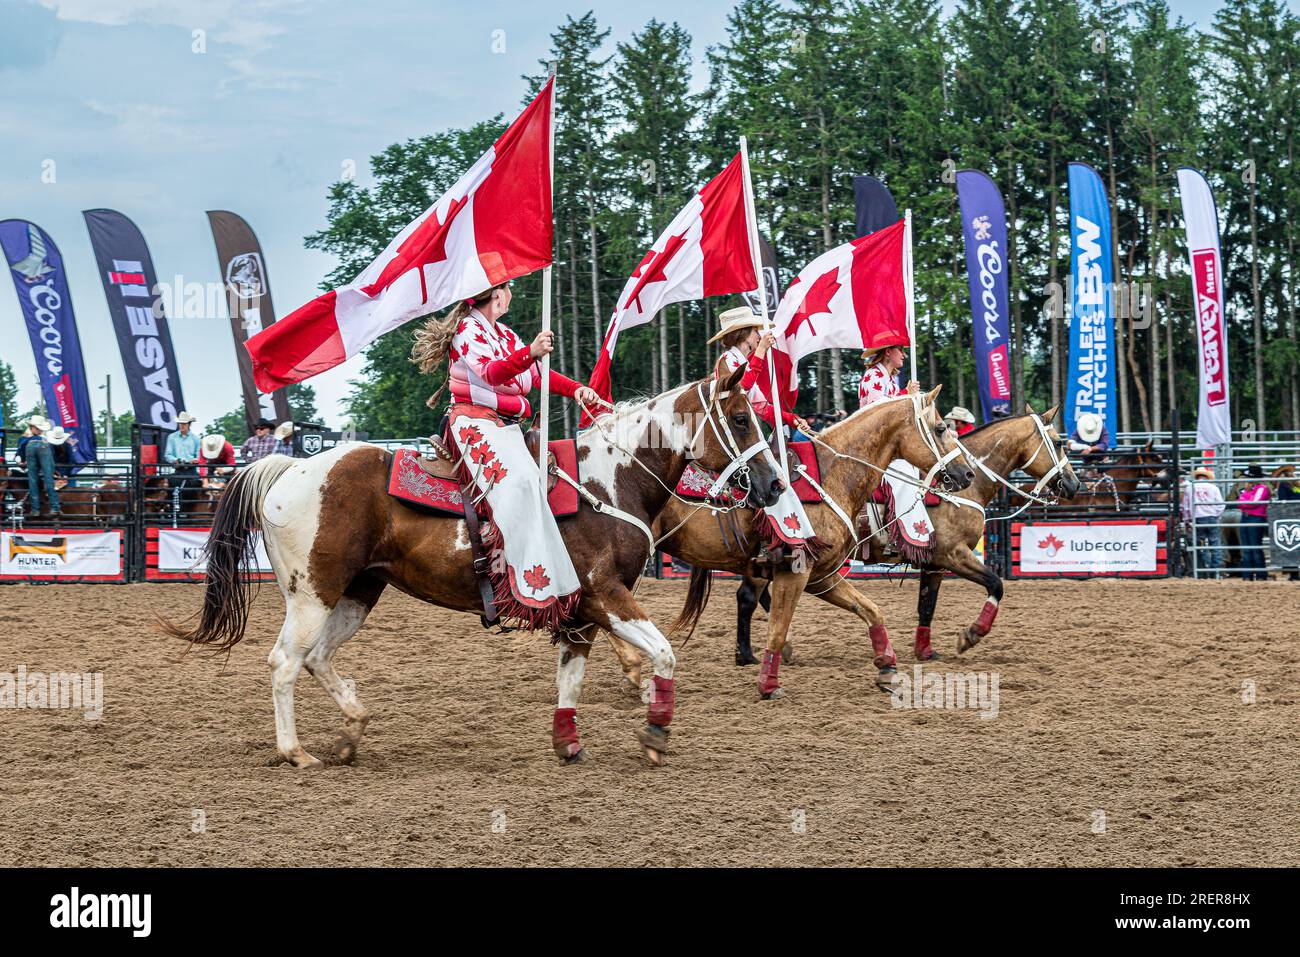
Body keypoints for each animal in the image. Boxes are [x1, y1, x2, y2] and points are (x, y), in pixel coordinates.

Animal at [167, 369, 785, 769]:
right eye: (739, 418)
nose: (776, 485)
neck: (608, 481)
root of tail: (287, 469)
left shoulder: (581, 612)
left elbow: (571, 676)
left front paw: (567, 744)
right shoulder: (605, 594)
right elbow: (663, 653)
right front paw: (656, 734)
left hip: (359, 591)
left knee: (317, 658)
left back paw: (352, 730)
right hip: (312, 592)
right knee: (285, 662)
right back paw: (295, 752)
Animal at [603, 387, 972, 696]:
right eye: (941, 428)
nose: (966, 473)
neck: (833, 474)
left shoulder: (822, 576)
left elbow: (871, 610)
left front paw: (887, 668)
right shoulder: (795, 572)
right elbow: (777, 631)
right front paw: (768, 683)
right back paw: (632, 666)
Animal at [754, 403, 1076, 665]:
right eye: (1059, 442)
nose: (1074, 484)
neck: (965, 489)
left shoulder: (933, 564)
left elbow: (927, 606)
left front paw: (925, 651)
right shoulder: (953, 554)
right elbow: (996, 584)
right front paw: (971, 635)